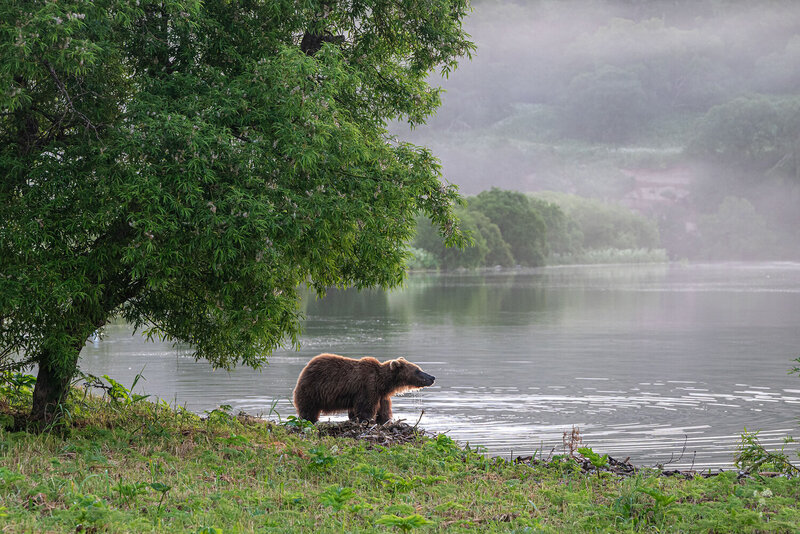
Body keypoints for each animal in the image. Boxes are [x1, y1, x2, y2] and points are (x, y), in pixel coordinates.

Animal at [293, 353, 435, 424]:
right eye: (417, 370)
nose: (432, 377)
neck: (383, 383)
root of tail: (305, 368)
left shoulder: (381, 396)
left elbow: (384, 412)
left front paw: (384, 420)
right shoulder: (368, 387)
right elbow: (365, 408)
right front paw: (365, 420)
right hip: (312, 388)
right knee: (308, 409)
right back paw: (309, 419)